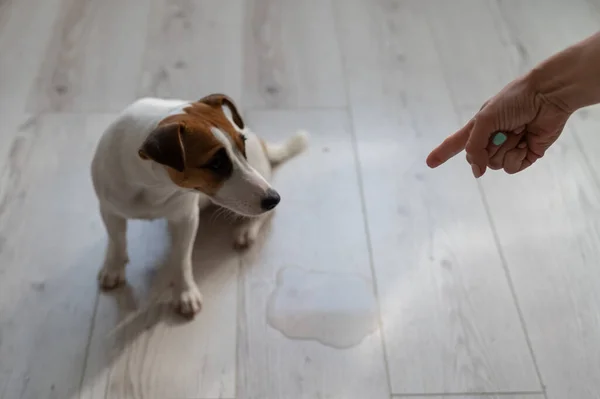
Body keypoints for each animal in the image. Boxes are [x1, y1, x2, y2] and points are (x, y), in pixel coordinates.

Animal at [92, 95, 310, 318]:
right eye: (216, 163)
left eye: (243, 145)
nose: (274, 198)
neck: (155, 185)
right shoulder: (109, 210)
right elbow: (117, 240)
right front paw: (114, 265)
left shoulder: (186, 218)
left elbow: (182, 259)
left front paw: (185, 293)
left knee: (263, 216)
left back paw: (247, 229)